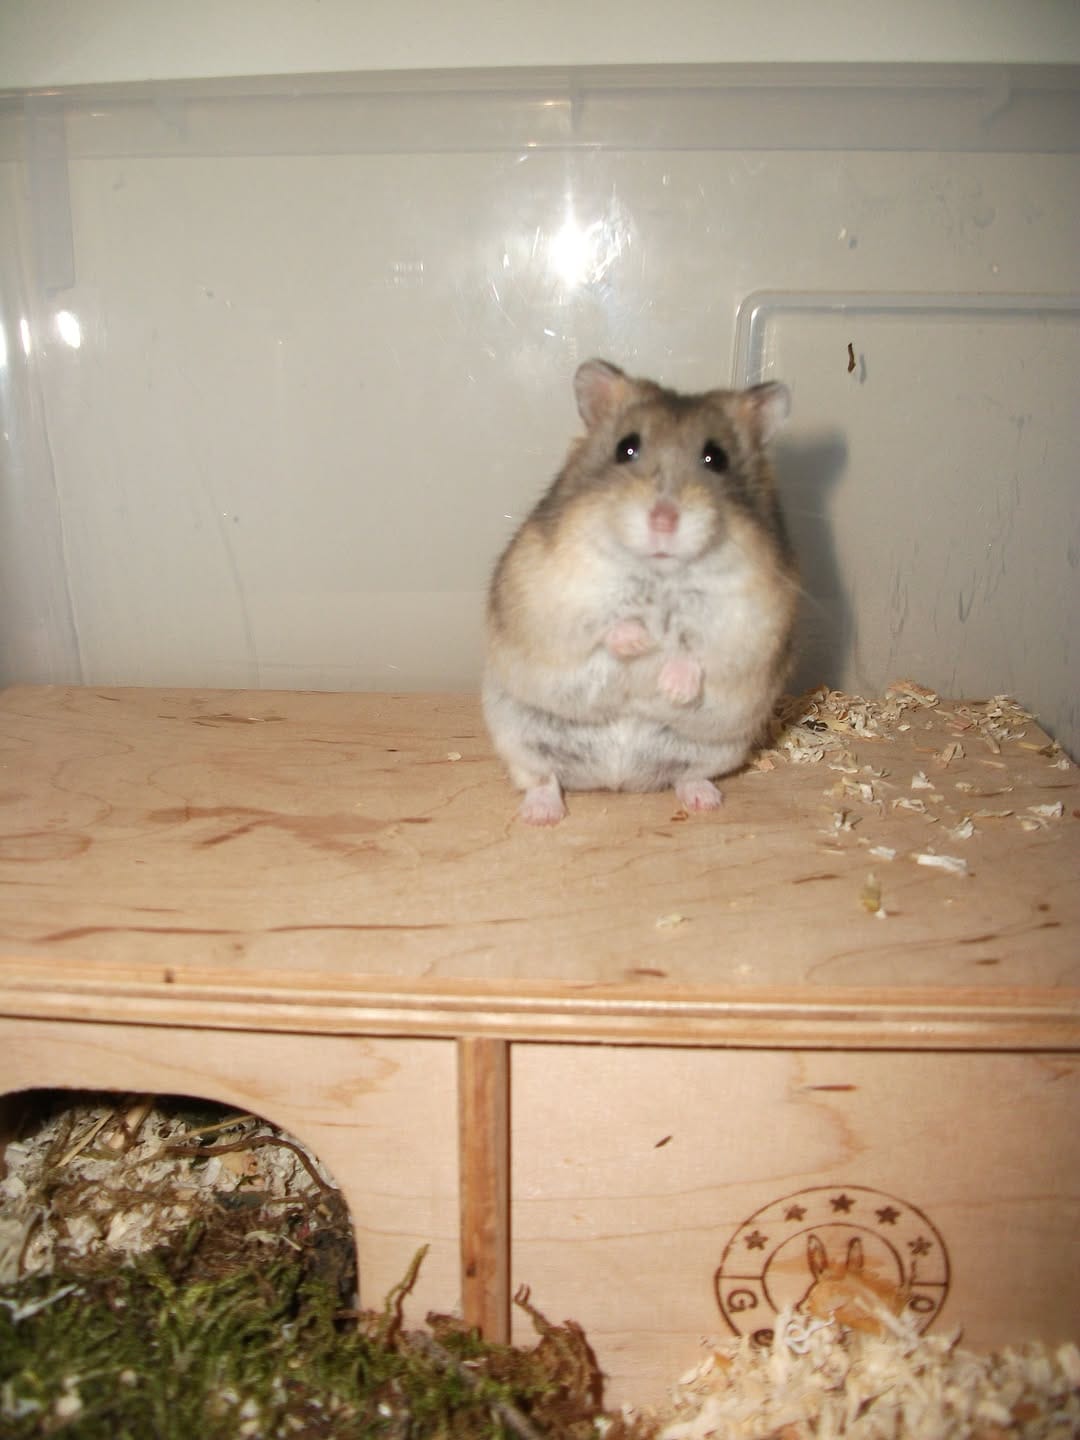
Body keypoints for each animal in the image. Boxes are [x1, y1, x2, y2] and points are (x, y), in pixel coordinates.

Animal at [482, 358, 797, 825]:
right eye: (625, 448)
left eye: (716, 458)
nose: (663, 520)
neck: (658, 576)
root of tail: (618, 780)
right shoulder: (556, 604)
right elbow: (607, 629)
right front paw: (641, 642)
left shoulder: (749, 627)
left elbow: (697, 651)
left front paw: (672, 686)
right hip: (518, 735)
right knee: (541, 778)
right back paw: (542, 814)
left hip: (720, 749)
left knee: (689, 775)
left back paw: (705, 800)